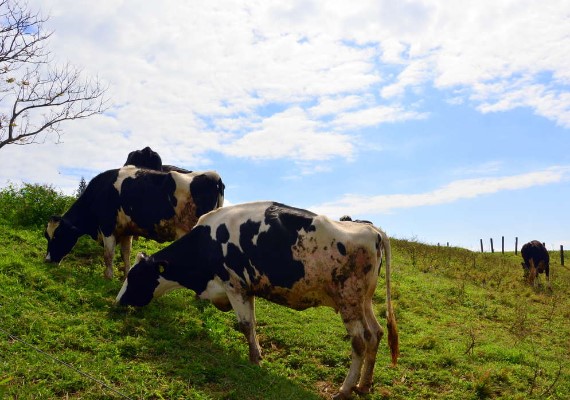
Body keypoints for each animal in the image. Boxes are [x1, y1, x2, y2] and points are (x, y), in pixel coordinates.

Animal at [45, 166, 224, 278]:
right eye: (47, 236)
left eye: (57, 236)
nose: (47, 260)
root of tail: (214, 176)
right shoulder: (126, 230)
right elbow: (125, 253)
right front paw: (125, 275)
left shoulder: (107, 226)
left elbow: (108, 254)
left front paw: (108, 276)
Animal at [116, 203, 394, 400]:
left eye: (135, 276)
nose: (117, 302)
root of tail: (372, 230)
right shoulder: (246, 289)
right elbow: (252, 324)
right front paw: (257, 355)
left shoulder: (234, 285)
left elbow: (246, 325)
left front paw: (254, 360)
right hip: (364, 301)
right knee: (376, 333)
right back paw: (364, 385)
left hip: (348, 301)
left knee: (359, 341)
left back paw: (345, 389)